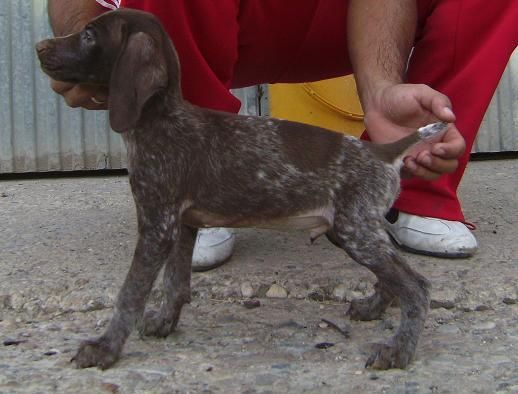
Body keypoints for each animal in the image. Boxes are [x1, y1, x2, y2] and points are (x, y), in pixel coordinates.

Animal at [35, 9, 446, 370]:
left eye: (90, 35)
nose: (39, 46)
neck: (161, 119)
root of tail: (382, 151)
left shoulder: (156, 226)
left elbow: (130, 294)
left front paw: (105, 348)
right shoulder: (182, 225)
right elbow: (174, 282)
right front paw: (165, 322)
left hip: (355, 231)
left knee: (417, 286)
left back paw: (398, 349)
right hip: (353, 230)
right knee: (393, 276)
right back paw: (373, 307)